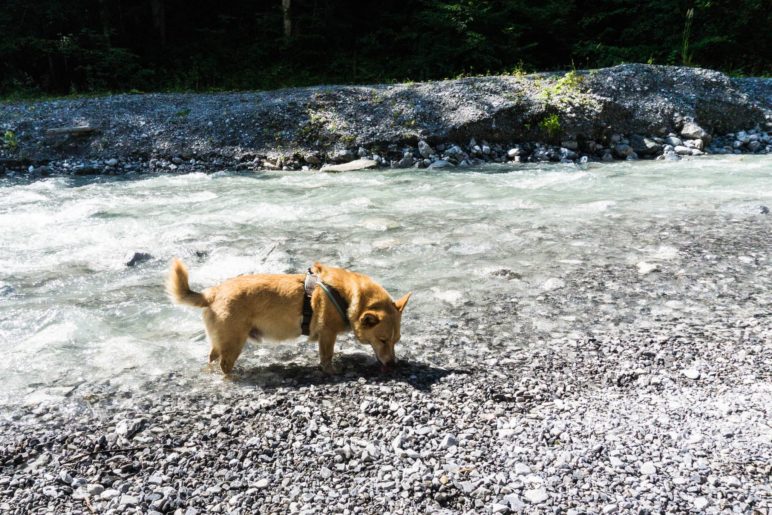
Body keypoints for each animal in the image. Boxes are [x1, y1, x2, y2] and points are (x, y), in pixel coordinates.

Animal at [167, 262, 414, 374]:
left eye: (396, 341)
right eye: (383, 340)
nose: (393, 364)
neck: (347, 297)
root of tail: (213, 292)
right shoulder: (327, 334)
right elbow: (327, 356)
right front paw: (331, 370)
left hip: (221, 341)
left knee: (211, 358)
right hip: (234, 342)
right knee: (225, 364)